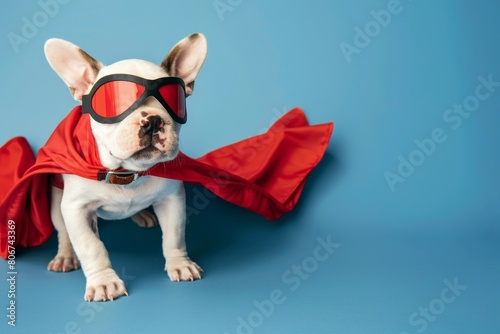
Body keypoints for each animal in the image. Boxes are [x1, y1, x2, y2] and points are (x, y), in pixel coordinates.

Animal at [43, 34, 207, 302]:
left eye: (173, 101)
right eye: (114, 104)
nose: (153, 120)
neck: (126, 173)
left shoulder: (172, 199)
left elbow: (174, 236)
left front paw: (180, 264)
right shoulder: (75, 208)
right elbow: (91, 246)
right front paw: (104, 282)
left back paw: (142, 214)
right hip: (57, 203)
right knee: (63, 233)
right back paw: (65, 256)